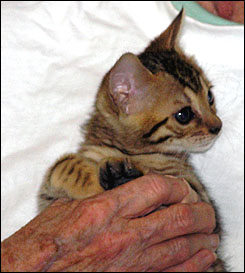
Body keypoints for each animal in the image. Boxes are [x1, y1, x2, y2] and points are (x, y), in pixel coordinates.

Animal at [38, 9, 226, 270]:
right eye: (184, 115)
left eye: (209, 97)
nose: (218, 126)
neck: (125, 151)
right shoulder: (46, 198)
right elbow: (62, 165)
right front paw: (94, 182)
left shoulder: (201, 203)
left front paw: (118, 176)